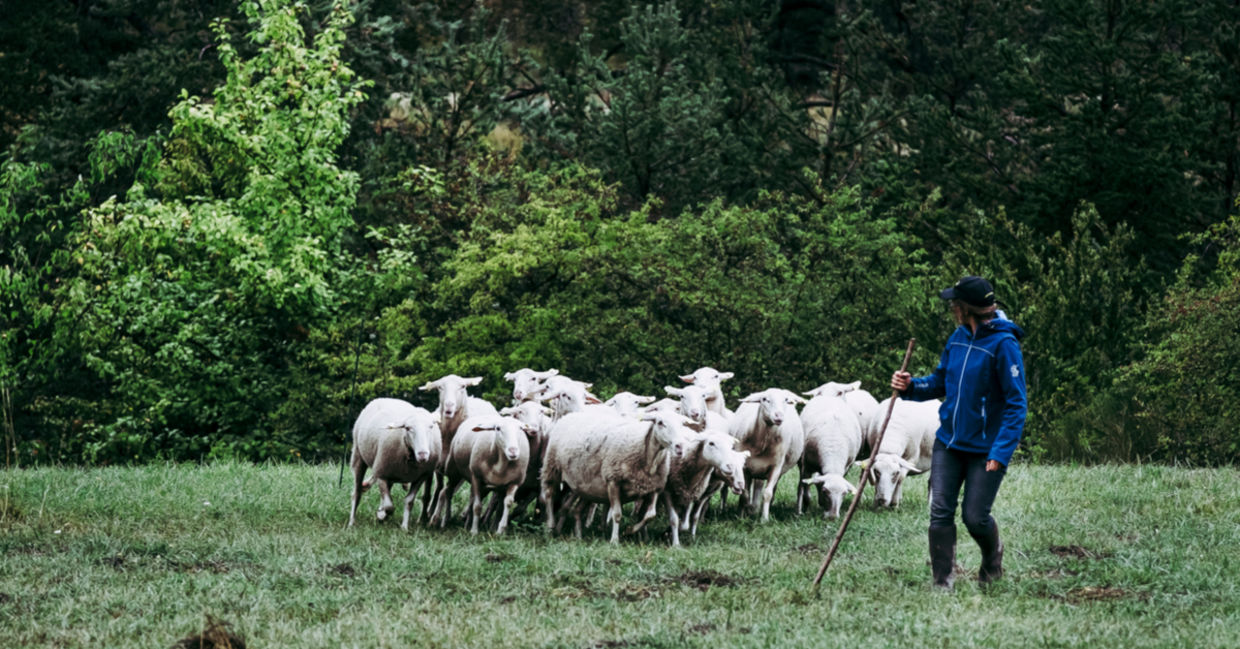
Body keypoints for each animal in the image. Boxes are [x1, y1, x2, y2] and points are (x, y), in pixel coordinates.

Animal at [348, 398, 441, 530]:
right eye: (408, 428)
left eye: (431, 426)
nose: (423, 455)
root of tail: (385, 398)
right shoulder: (380, 473)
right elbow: (389, 506)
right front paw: (382, 514)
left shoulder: (420, 478)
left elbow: (409, 501)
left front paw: (404, 527)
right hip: (358, 455)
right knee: (356, 493)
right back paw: (352, 522)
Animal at [540, 409, 691, 545]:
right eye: (660, 422)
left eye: (682, 424)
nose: (680, 446)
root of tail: (570, 414)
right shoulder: (613, 480)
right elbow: (617, 514)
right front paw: (614, 541)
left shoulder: (654, 487)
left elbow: (650, 515)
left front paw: (630, 530)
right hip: (552, 467)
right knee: (549, 494)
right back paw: (550, 526)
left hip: (584, 485)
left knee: (574, 508)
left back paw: (575, 534)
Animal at [728, 388, 806, 522]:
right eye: (764, 399)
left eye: (786, 400)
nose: (779, 416)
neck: (762, 443)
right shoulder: (744, 468)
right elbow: (745, 494)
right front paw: (743, 516)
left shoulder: (776, 467)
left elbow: (767, 494)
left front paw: (764, 519)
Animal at [797, 382, 863, 519]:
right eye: (826, 491)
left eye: (844, 493)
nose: (832, 517)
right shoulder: (806, 466)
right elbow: (806, 491)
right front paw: (804, 510)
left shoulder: (845, 467)